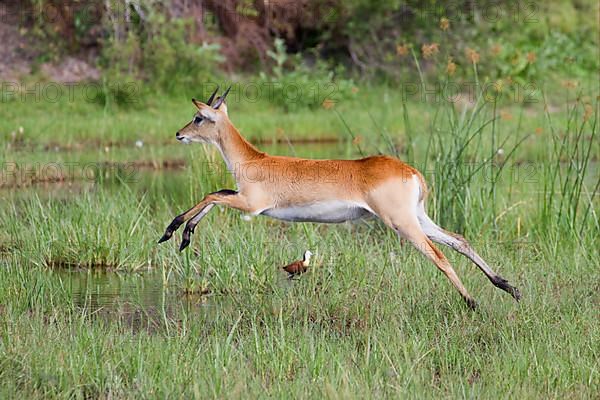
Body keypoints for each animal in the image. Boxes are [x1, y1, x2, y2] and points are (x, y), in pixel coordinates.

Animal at [159, 87, 520, 308]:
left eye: (199, 117)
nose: (178, 134)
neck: (253, 161)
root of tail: (411, 171)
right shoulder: (242, 199)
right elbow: (216, 194)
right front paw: (182, 236)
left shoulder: (252, 205)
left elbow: (211, 194)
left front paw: (172, 231)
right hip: (418, 216)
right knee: (459, 240)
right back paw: (509, 287)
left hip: (401, 223)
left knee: (439, 255)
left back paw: (472, 302)